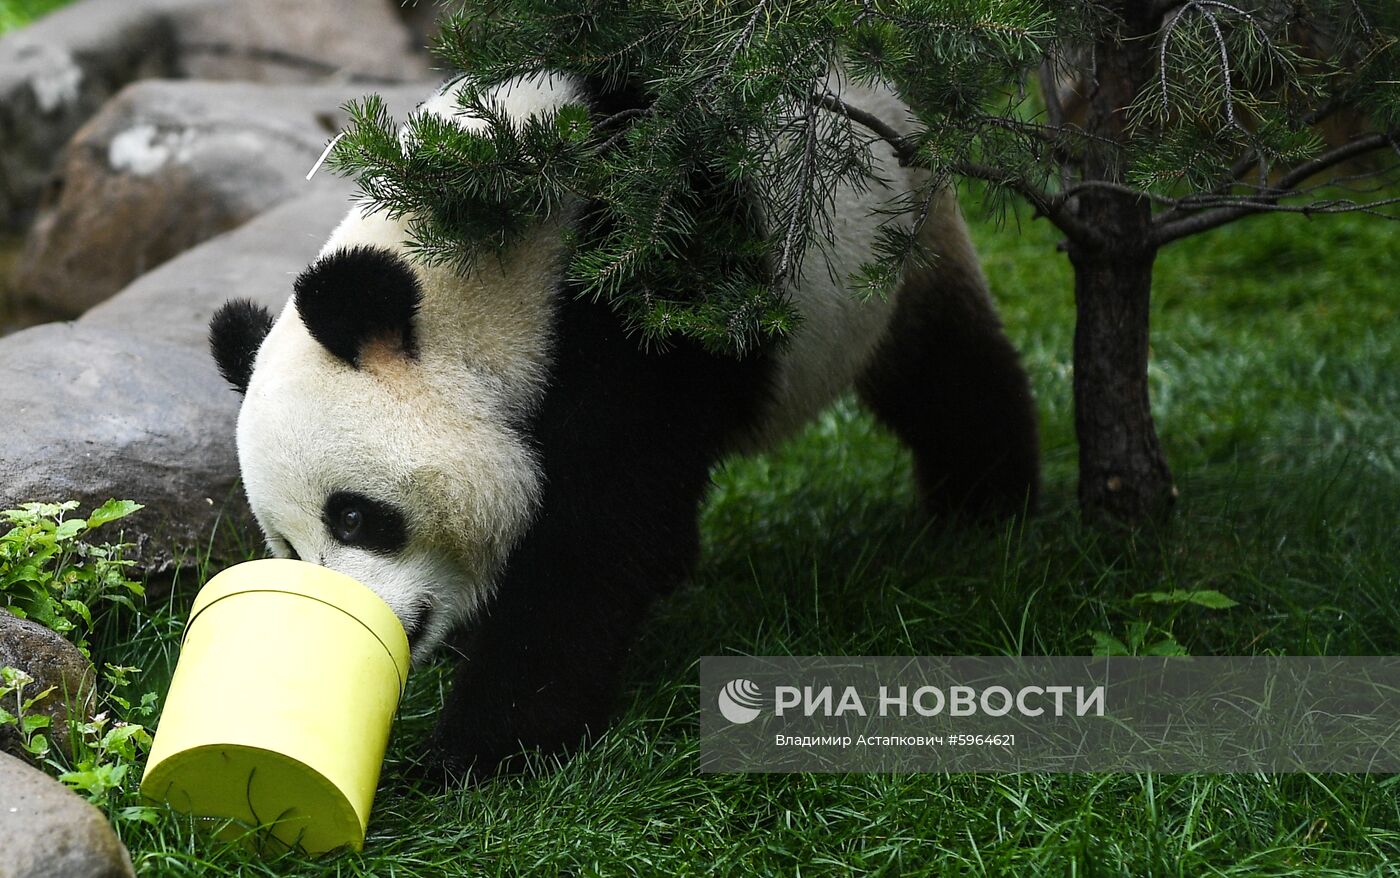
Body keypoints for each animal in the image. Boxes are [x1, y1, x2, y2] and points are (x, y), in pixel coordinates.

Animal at [207, 72, 1041, 778]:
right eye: (286, 547)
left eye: (354, 516)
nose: (374, 632)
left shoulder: (639, 292)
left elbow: (600, 527)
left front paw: (480, 750)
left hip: (898, 241)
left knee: (946, 377)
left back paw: (983, 510)